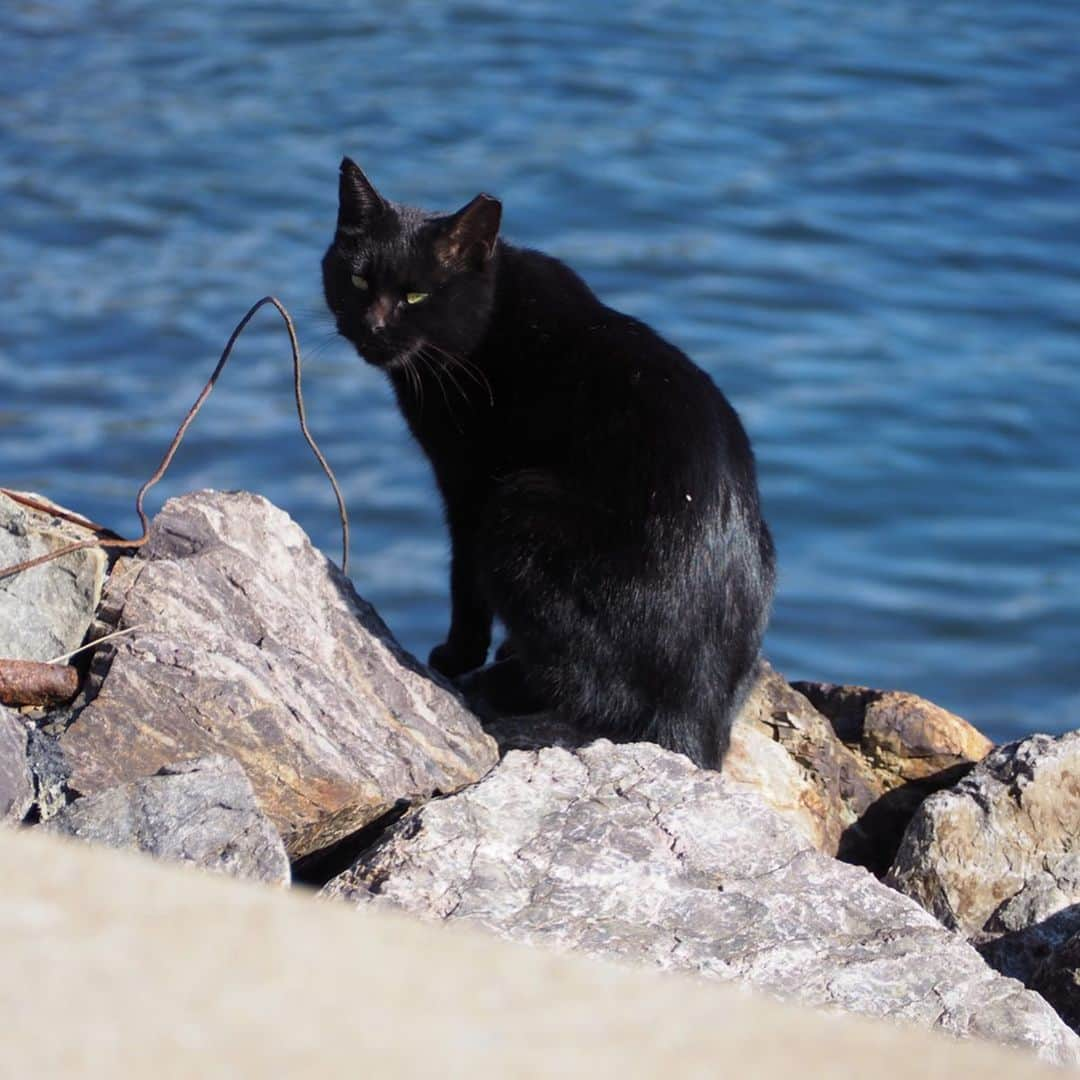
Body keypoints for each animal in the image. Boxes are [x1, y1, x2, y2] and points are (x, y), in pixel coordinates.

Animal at [321, 157, 777, 768]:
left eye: (415, 297)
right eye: (358, 280)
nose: (370, 326)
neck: (490, 320)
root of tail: (697, 710)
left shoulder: (470, 485)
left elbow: (464, 580)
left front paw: (459, 653)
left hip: (521, 509)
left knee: (594, 691)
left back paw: (495, 684)